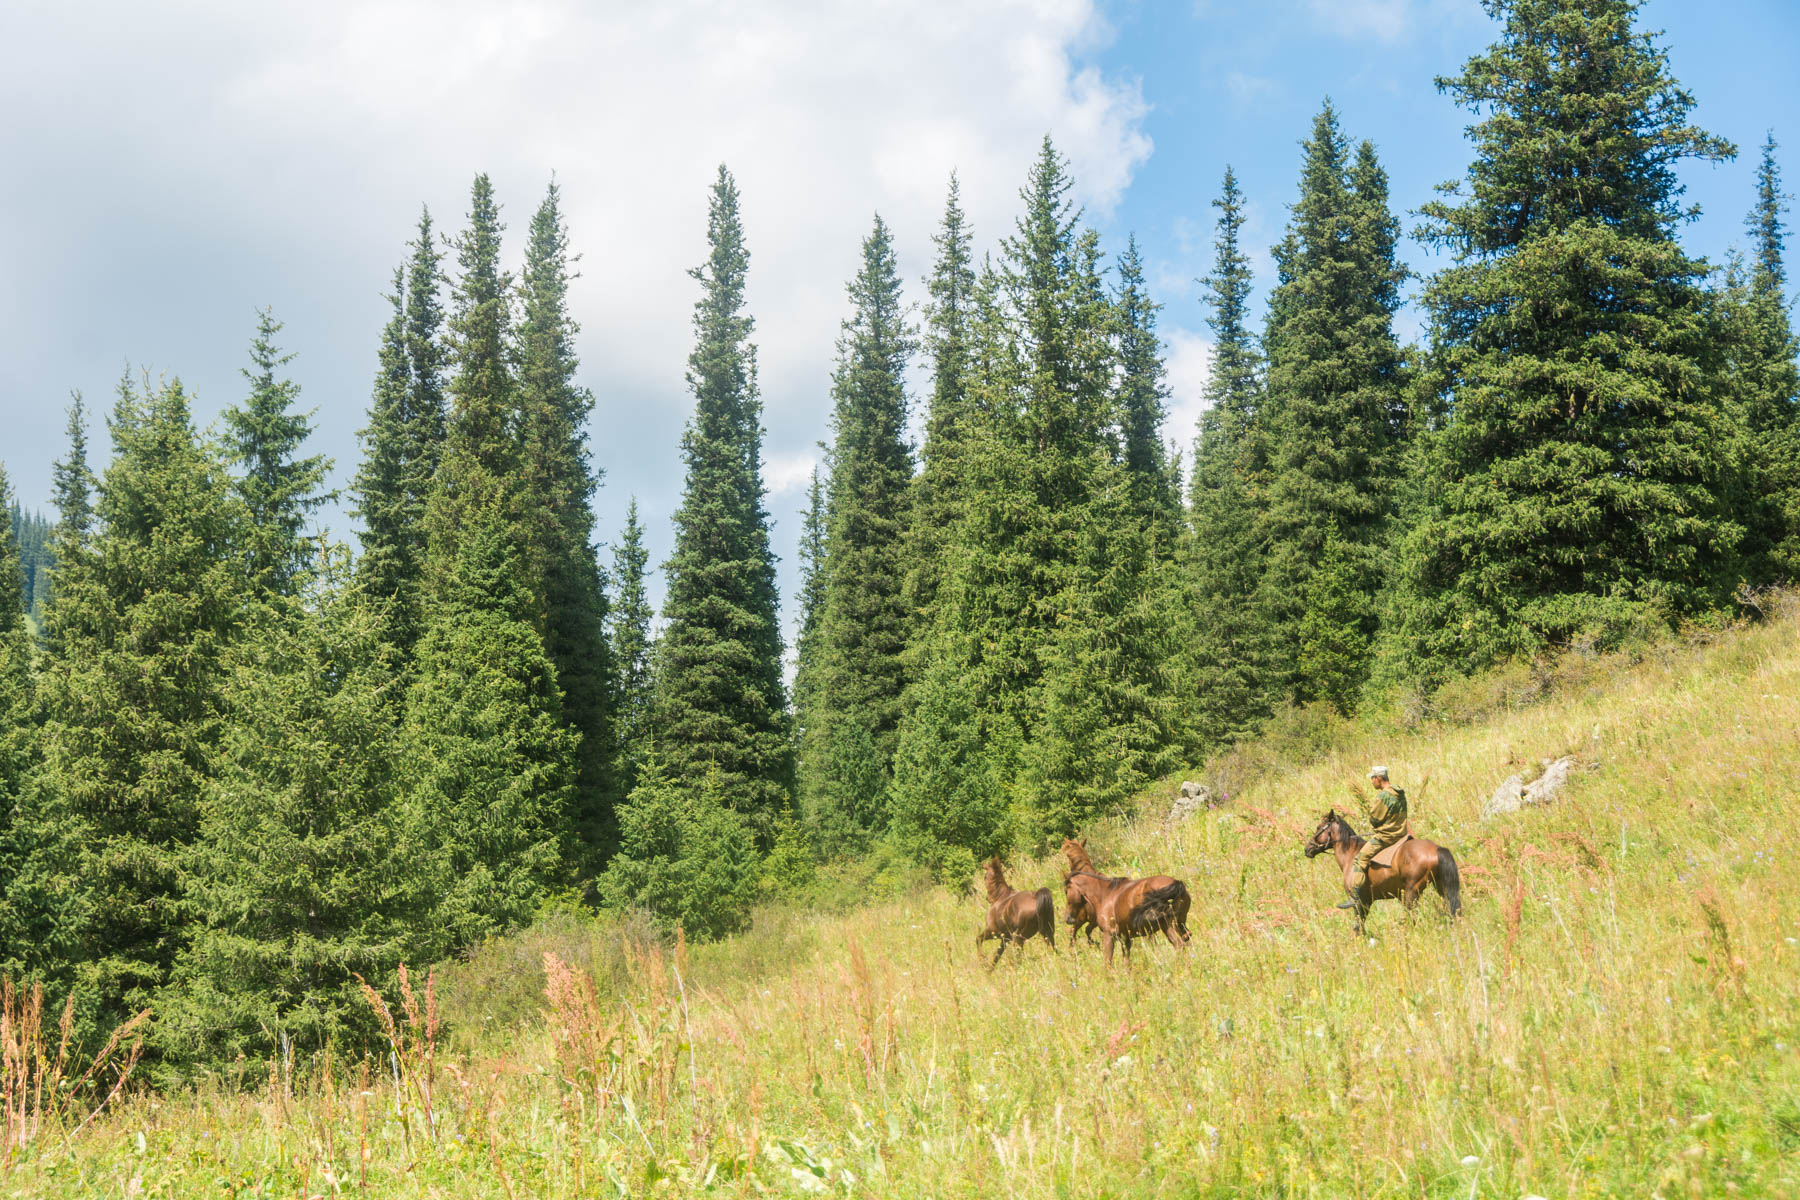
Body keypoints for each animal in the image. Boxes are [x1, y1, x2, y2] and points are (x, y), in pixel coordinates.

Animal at [1058, 874, 1188, 964]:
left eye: (1066, 891)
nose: (1067, 918)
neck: (1105, 895)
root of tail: (1177, 883)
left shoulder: (1109, 935)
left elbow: (1108, 961)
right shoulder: (1125, 937)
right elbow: (1126, 961)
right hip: (1173, 925)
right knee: (1181, 943)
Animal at [1310, 813, 1461, 935]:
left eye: (1318, 827)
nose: (1307, 849)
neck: (1350, 856)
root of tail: (1436, 848)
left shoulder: (1359, 901)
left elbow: (1359, 923)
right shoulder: (1368, 900)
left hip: (1412, 892)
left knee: (1413, 916)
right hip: (1440, 887)